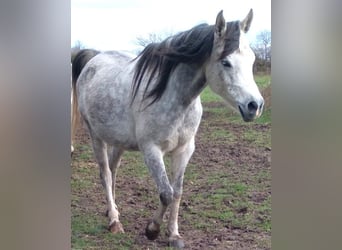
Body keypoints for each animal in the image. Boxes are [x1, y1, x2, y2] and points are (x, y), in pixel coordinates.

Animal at [71, 9, 264, 248]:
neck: (173, 96)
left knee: (114, 170)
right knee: (105, 173)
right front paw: (152, 230)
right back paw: (114, 221)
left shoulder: (184, 150)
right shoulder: (152, 150)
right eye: (226, 62)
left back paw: (112, 210)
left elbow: (178, 192)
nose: (255, 106)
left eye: (252, 59)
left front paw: (174, 234)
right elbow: (166, 192)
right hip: (96, 137)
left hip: (119, 141)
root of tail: (93, 60)